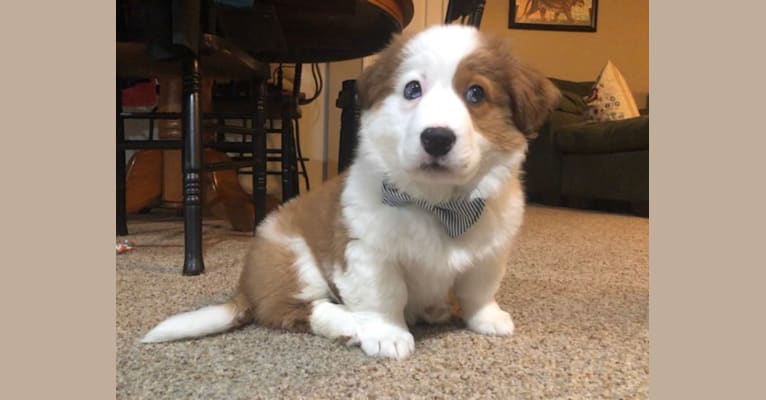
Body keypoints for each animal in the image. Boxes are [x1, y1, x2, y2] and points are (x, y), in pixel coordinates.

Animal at [144, 25, 560, 362]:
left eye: (476, 94)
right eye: (412, 89)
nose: (437, 138)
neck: (436, 203)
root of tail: (246, 288)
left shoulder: (489, 252)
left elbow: (479, 291)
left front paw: (487, 319)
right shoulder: (367, 253)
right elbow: (384, 295)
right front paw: (387, 335)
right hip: (293, 259)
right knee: (296, 310)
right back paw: (349, 323)